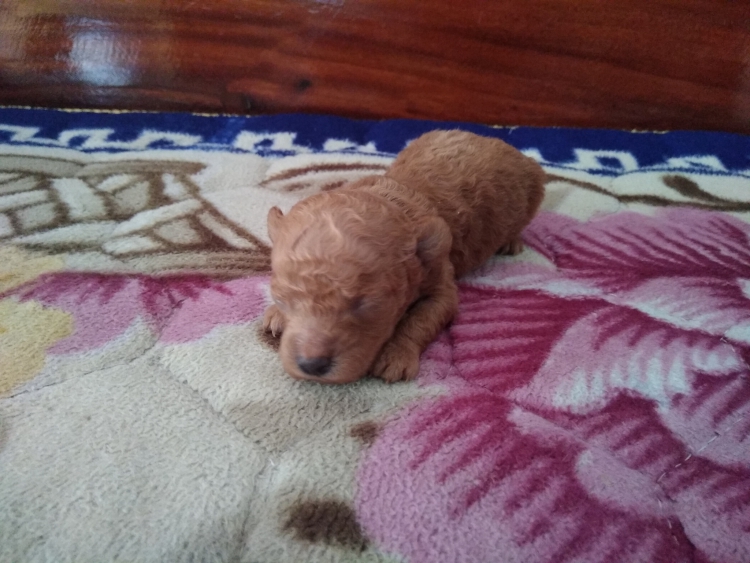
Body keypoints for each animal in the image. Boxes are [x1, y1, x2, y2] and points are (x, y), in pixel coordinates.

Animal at [263, 129, 545, 384]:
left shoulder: (440, 278)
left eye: (366, 305)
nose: (312, 365)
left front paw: (396, 357)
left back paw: (511, 241)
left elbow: (423, 317)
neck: (394, 197)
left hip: (533, 191)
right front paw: (275, 315)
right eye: (282, 299)